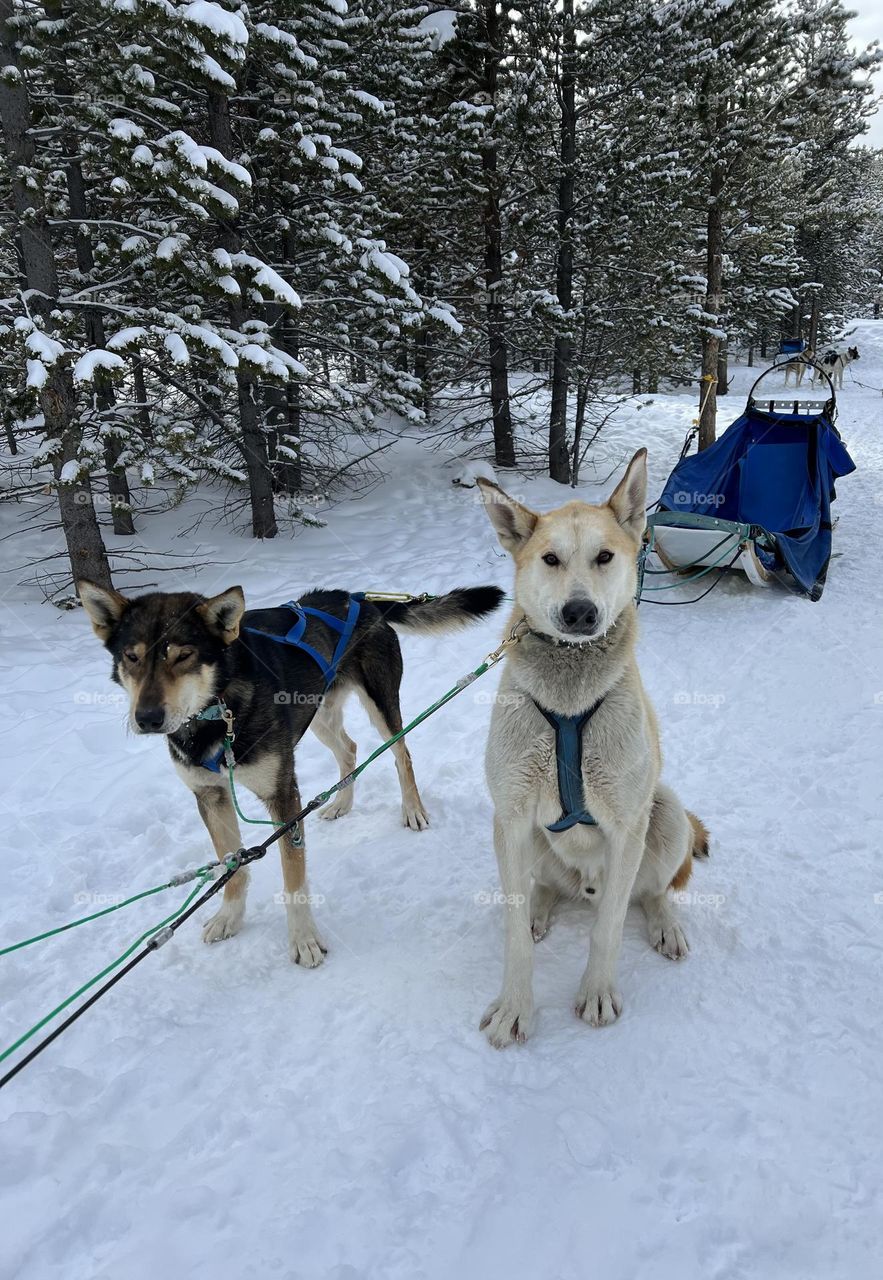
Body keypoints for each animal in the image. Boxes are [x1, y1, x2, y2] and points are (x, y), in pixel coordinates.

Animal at [78, 581, 499, 962]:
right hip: (319, 715)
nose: (147, 717)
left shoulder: (282, 795)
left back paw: (412, 810)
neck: (217, 716)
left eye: (183, 655)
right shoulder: (210, 796)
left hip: (380, 705)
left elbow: (294, 878)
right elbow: (232, 866)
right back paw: (340, 803)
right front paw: (230, 917)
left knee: (401, 754)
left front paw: (304, 939)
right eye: (131, 657)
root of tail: (356, 598)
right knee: (350, 750)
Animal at [478, 450, 706, 1049]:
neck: (570, 698)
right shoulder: (510, 817)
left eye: (605, 556)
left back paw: (664, 923)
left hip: (665, 811)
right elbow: (513, 936)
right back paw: (541, 907)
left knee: (649, 893)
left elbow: (608, 929)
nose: (579, 612)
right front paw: (515, 1007)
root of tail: (584, 885)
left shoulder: (627, 825)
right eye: (550, 559)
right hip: (533, 839)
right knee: (544, 889)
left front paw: (597, 992)